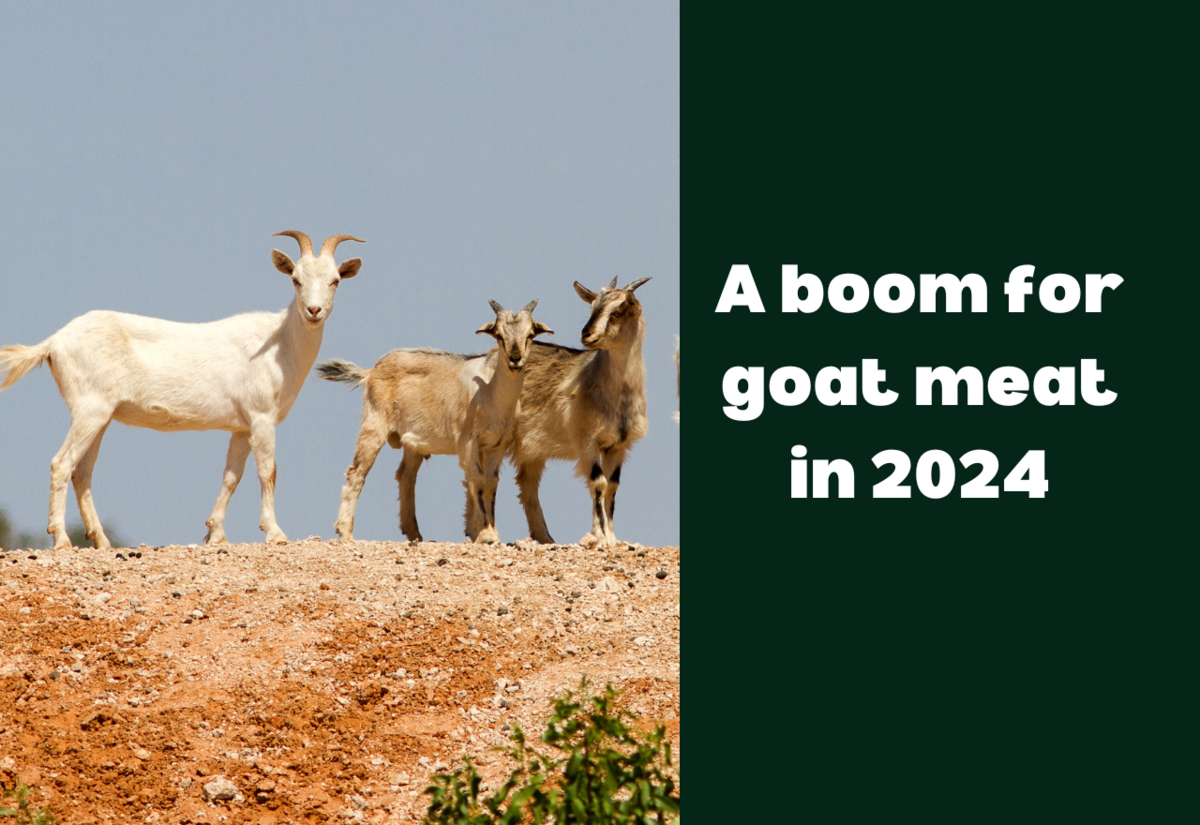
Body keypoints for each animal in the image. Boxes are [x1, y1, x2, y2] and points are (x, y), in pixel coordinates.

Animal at [0, 231, 363, 549]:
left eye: (335, 280)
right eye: (296, 279)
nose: (314, 311)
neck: (278, 342)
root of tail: (54, 342)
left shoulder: (241, 426)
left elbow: (232, 476)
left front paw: (215, 533)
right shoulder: (261, 416)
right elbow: (268, 472)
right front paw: (275, 533)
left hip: (99, 416)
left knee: (82, 472)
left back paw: (101, 541)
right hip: (89, 409)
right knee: (61, 464)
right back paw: (61, 539)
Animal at [318, 300, 552, 544]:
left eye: (530, 334)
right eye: (498, 334)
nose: (515, 358)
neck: (490, 391)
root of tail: (370, 372)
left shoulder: (497, 444)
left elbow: (491, 482)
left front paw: (491, 533)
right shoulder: (467, 440)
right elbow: (478, 479)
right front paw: (486, 535)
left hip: (411, 441)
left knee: (405, 476)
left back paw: (414, 534)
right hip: (374, 424)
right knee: (357, 472)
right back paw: (346, 532)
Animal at [509, 277, 651, 548]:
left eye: (618, 311)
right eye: (592, 307)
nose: (587, 335)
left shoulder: (618, 445)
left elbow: (612, 485)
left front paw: (613, 537)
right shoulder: (587, 440)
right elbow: (598, 483)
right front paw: (601, 536)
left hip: (531, 450)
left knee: (527, 486)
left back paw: (545, 537)